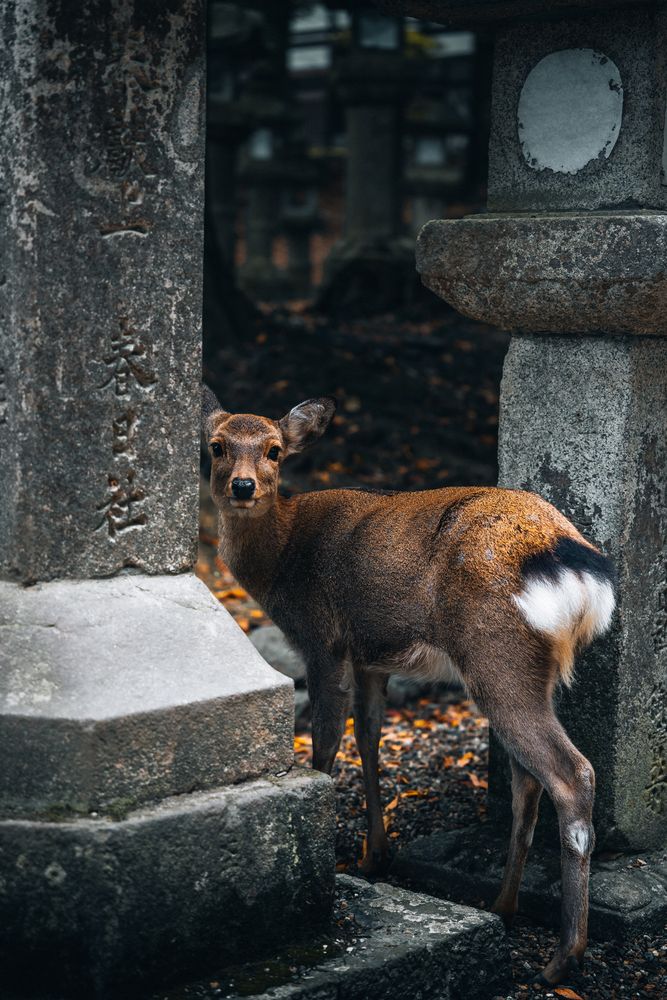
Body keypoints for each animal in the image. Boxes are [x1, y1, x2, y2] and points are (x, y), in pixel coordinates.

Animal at [202, 385, 615, 988]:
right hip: (536, 671)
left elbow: (326, 741)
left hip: (496, 654)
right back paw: (504, 907)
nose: (242, 486)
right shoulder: (372, 656)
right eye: (217, 445)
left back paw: (563, 958)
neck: (279, 558)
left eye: (275, 450)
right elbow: (369, 737)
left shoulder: (323, 638)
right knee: (527, 781)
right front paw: (375, 856)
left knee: (571, 773)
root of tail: (575, 565)